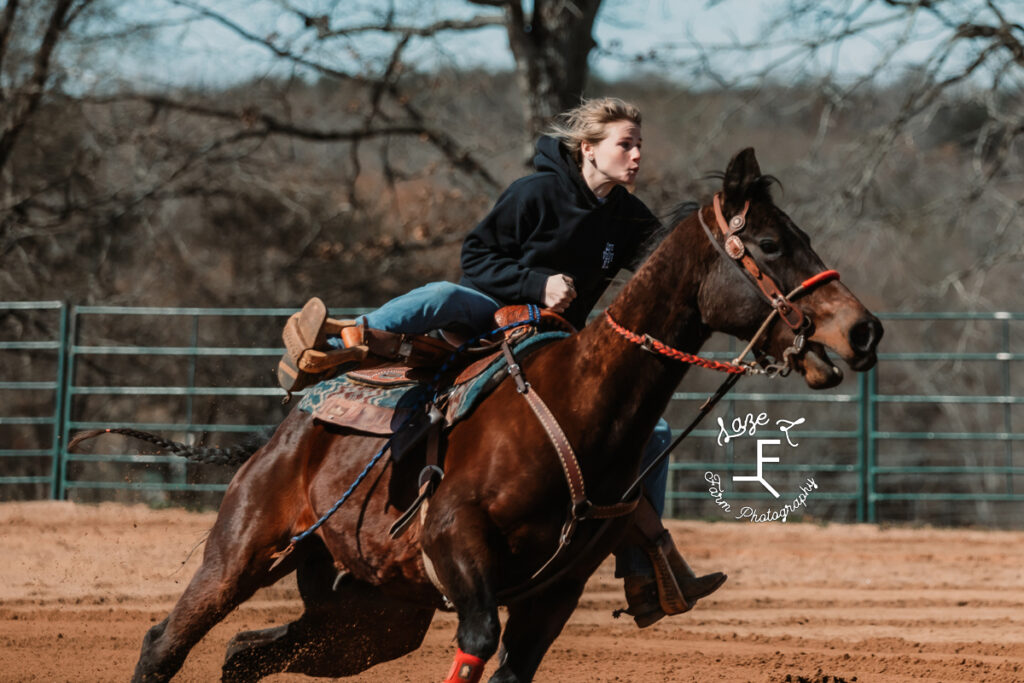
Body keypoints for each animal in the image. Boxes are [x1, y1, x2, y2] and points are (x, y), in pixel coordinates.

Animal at [119, 147, 884, 679]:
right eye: (772, 245)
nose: (864, 329)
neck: (578, 405)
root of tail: (281, 437)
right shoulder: (458, 546)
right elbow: (477, 644)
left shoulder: (554, 596)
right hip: (242, 553)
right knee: (164, 643)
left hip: (366, 614)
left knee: (246, 653)